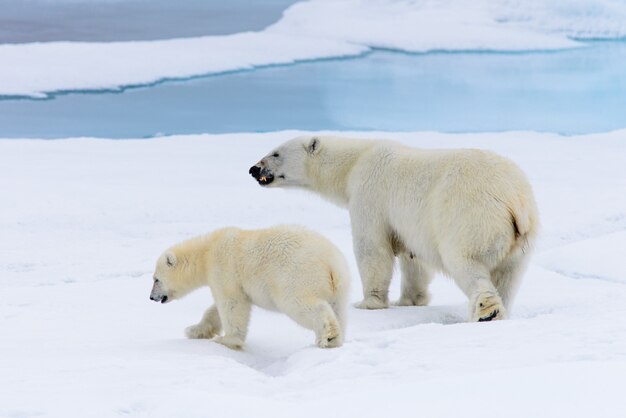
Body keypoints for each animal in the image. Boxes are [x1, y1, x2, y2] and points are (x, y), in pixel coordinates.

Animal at [149, 225, 348, 350]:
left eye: (156, 279)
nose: (151, 297)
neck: (207, 251)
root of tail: (331, 264)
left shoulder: (224, 268)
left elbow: (231, 304)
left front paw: (227, 340)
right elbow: (216, 310)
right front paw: (194, 330)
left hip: (296, 276)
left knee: (300, 304)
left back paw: (328, 335)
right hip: (339, 287)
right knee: (338, 309)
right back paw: (333, 340)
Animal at [249, 136, 536, 322]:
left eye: (275, 153)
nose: (254, 168)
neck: (355, 161)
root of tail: (514, 199)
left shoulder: (370, 193)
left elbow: (372, 249)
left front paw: (367, 303)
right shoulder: (411, 224)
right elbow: (414, 258)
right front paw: (409, 301)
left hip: (472, 217)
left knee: (466, 262)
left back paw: (487, 312)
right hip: (522, 238)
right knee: (509, 275)